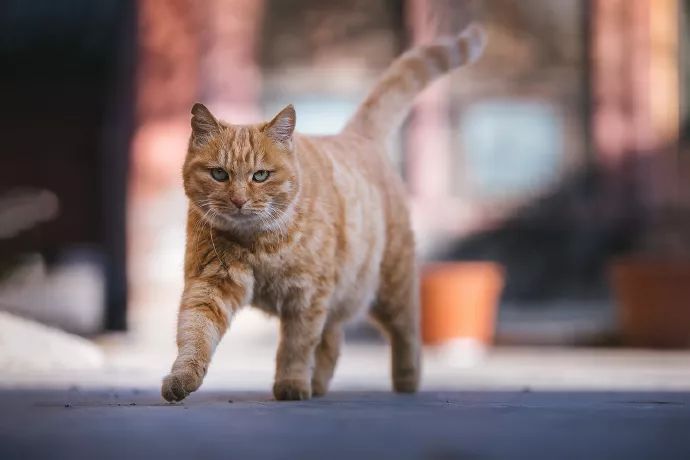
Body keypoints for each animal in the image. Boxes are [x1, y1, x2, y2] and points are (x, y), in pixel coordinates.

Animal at [161, 25, 484, 400]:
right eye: (219, 174)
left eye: (260, 176)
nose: (239, 200)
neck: (259, 243)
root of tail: (355, 136)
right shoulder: (210, 284)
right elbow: (194, 335)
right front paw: (182, 378)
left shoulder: (306, 296)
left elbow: (296, 347)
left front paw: (291, 383)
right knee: (334, 339)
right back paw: (319, 384)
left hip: (390, 286)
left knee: (406, 331)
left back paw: (406, 378)